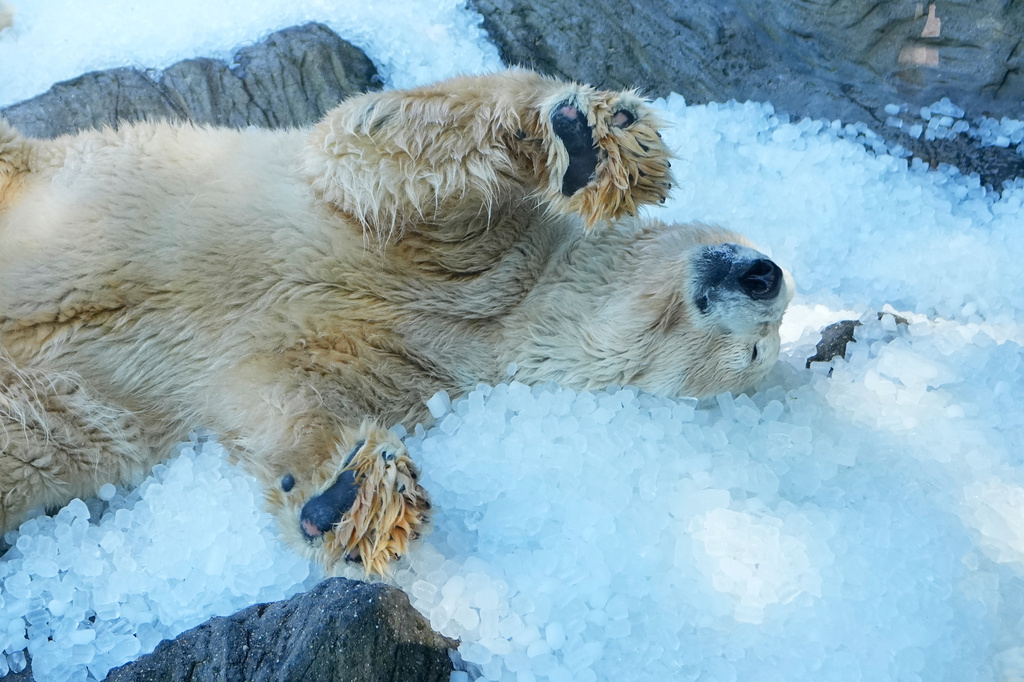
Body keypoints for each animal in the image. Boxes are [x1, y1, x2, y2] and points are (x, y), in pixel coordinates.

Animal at [0, 69, 792, 576]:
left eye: (755, 354)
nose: (766, 276)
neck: (501, 311)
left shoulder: (418, 365)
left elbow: (281, 398)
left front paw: (350, 500)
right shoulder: (466, 253)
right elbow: (368, 145)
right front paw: (591, 141)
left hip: (64, 413)